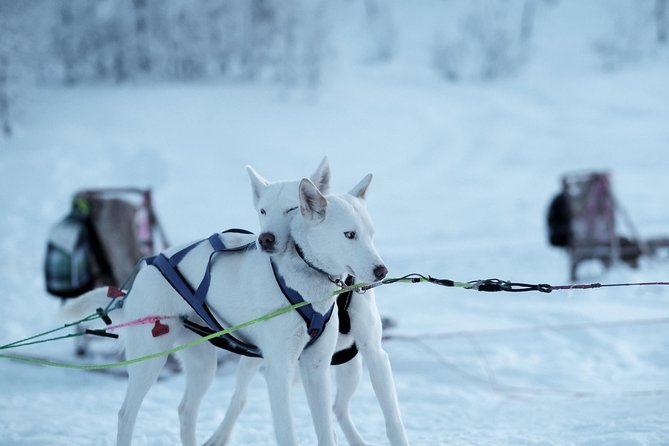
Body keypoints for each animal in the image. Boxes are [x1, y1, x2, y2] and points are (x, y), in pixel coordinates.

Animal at [64, 172, 386, 444]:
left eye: (371, 234)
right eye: (349, 235)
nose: (382, 270)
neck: (301, 279)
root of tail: (141, 275)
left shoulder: (317, 366)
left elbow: (326, 431)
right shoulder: (279, 368)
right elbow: (286, 432)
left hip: (204, 365)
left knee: (185, 410)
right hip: (149, 360)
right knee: (126, 414)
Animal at [205, 159, 408, 444]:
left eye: (371, 234)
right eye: (349, 234)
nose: (382, 271)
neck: (337, 285)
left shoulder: (373, 352)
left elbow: (393, 420)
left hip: (350, 369)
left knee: (338, 409)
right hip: (261, 361)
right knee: (240, 398)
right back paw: (219, 435)